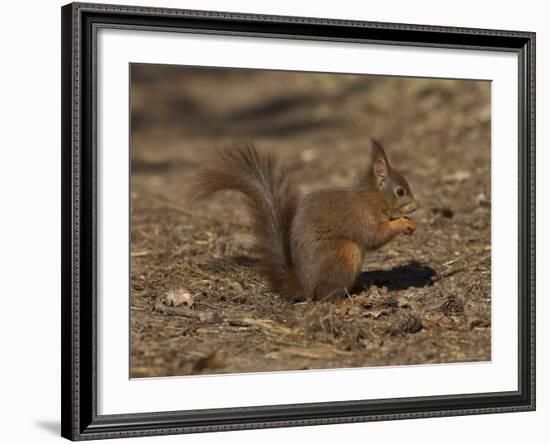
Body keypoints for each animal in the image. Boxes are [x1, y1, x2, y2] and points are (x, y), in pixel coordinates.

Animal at [190, 140, 418, 302]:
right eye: (400, 191)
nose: (416, 206)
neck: (372, 198)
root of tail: (305, 286)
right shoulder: (363, 217)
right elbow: (374, 236)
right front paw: (403, 224)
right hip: (344, 253)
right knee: (326, 297)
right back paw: (348, 300)